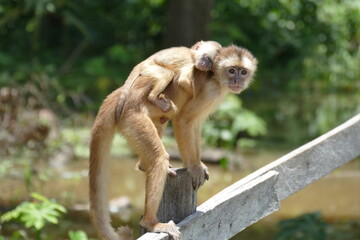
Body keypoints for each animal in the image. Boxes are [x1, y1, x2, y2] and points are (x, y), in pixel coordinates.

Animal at [90, 43, 258, 240]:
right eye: (231, 70)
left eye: (243, 72)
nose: (237, 79)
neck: (215, 76)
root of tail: (119, 94)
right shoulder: (211, 90)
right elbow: (184, 120)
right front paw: (194, 167)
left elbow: (195, 124)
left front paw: (200, 164)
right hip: (131, 116)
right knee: (159, 158)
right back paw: (151, 223)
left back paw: (143, 165)